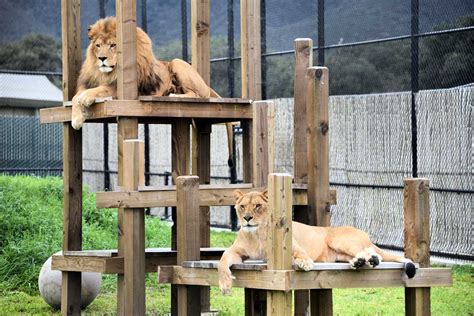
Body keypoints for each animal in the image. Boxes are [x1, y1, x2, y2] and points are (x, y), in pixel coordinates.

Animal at [70, 15, 220, 130]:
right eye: (98, 45)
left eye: (113, 45)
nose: (101, 58)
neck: (106, 73)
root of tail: (207, 85)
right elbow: (74, 97)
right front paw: (76, 118)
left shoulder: (120, 88)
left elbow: (100, 89)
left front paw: (85, 99)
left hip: (178, 62)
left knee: (198, 95)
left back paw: (173, 95)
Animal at [218, 190, 414, 294]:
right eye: (242, 206)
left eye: (258, 206)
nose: (247, 218)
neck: (256, 235)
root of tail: (363, 232)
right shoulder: (236, 251)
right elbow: (222, 260)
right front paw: (225, 284)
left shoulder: (294, 245)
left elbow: (300, 253)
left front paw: (304, 262)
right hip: (340, 254)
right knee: (365, 254)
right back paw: (358, 262)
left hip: (340, 241)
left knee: (370, 252)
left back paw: (368, 260)